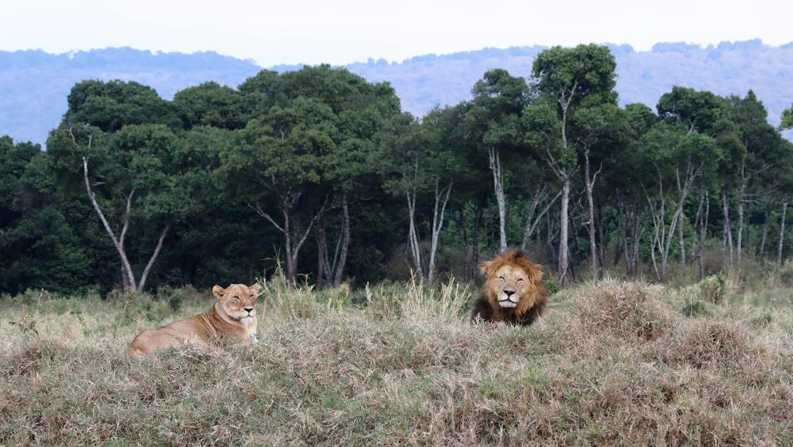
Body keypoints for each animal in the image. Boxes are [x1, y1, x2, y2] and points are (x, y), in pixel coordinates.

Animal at [128, 286, 262, 358]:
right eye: (236, 297)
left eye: (251, 295)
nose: (249, 309)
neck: (248, 324)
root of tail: (133, 346)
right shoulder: (239, 343)